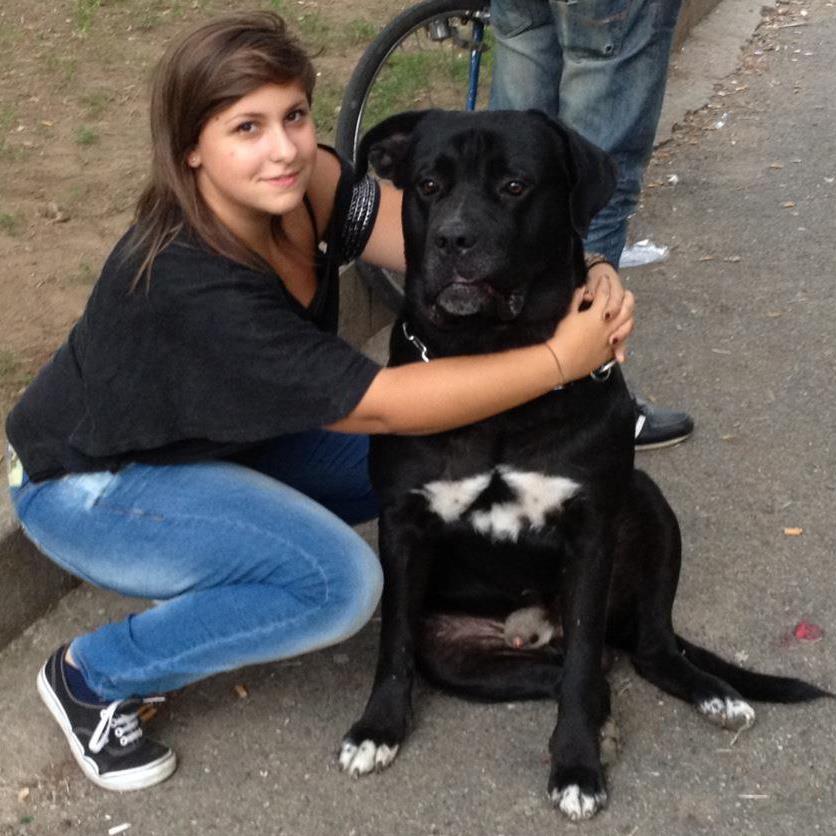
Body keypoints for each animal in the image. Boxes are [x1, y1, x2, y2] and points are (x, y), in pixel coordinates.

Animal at [338, 109, 829, 820]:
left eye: (516, 185)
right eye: (428, 184)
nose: (454, 238)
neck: (492, 361)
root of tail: (537, 625)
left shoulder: (593, 531)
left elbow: (580, 674)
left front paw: (576, 768)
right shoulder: (403, 526)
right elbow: (394, 645)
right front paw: (377, 729)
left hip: (647, 506)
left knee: (635, 653)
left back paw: (711, 693)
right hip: (462, 655)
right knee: (583, 671)